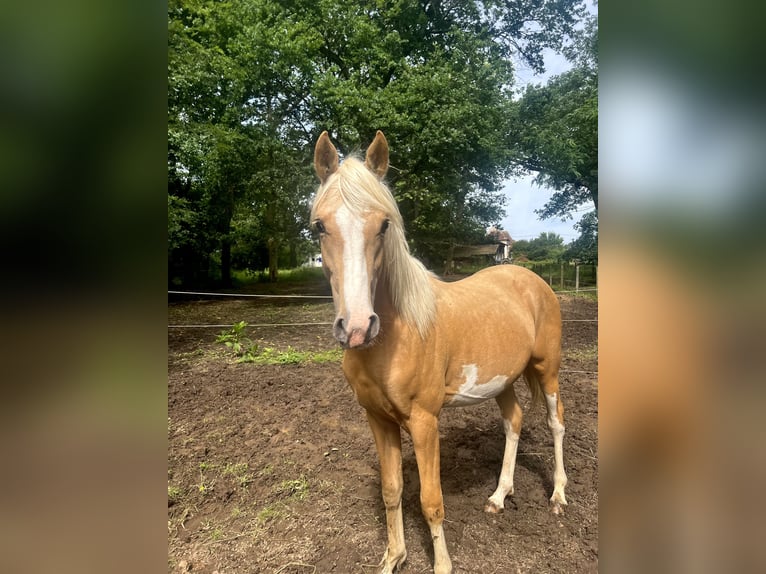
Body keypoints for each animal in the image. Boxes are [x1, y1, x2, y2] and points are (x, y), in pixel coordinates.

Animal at [308, 130, 568, 574]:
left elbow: (431, 501)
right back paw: (498, 497)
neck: (395, 337)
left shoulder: (425, 421)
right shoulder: (378, 419)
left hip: (546, 370)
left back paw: (558, 496)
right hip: (502, 380)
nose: (357, 327)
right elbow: (392, 490)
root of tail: (532, 278)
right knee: (514, 421)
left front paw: (441, 564)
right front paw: (393, 557)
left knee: (556, 423)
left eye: (384, 224)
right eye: (319, 225)